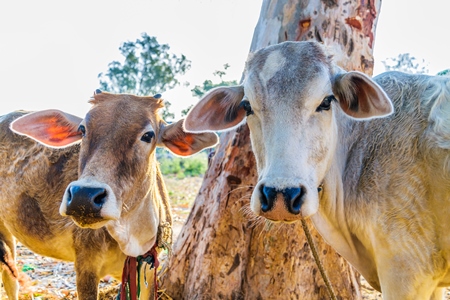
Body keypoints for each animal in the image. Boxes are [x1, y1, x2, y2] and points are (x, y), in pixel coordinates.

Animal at [0, 92, 218, 298]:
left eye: (148, 135)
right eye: (82, 129)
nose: (83, 197)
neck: (133, 238)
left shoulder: (148, 270)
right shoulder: (86, 267)